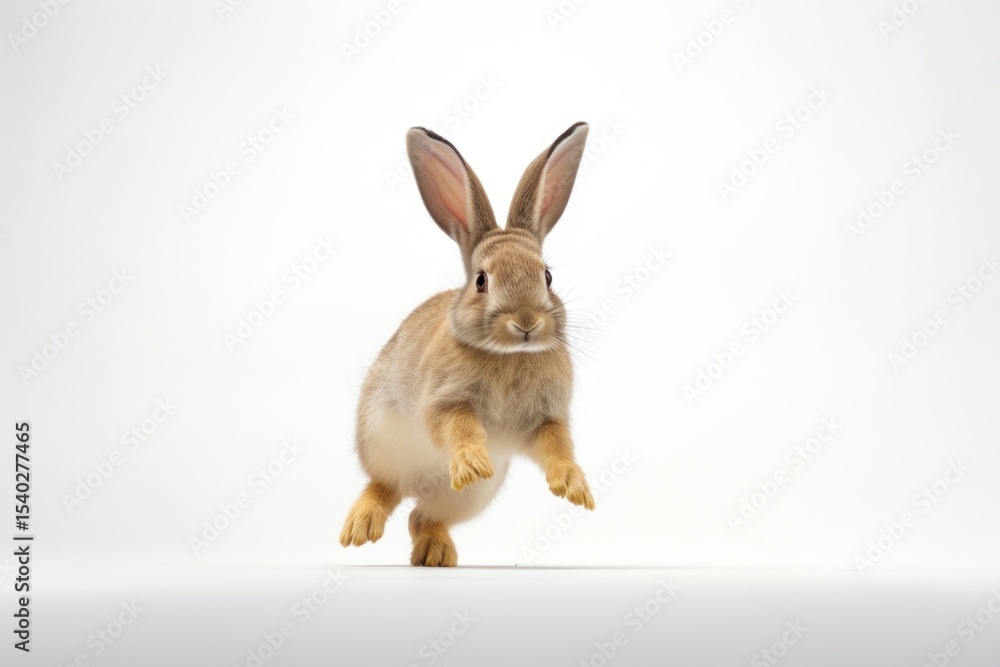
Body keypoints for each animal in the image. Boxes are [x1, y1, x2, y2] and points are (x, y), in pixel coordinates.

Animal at [340, 122, 595, 566]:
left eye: (547, 276)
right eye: (481, 280)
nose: (526, 322)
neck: (510, 356)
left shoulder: (545, 418)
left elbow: (557, 446)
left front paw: (574, 488)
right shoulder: (445, 401)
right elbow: (458, 428)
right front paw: (473, 464)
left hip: (467, 500)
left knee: (421, 517)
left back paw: (434, 554)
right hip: (381, 445)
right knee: (386, 489)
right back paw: (360, 528)